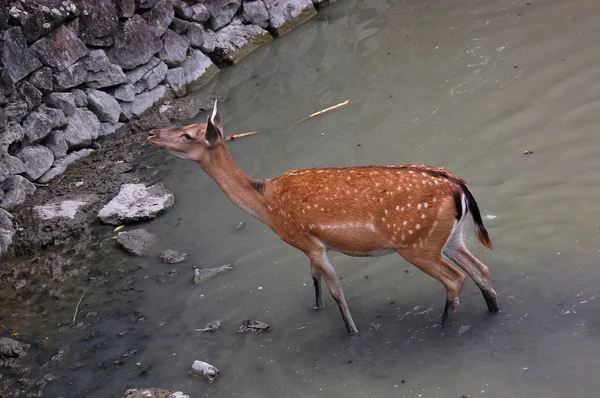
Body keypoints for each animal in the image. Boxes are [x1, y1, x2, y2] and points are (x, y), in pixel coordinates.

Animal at [148, 101, 500, 334]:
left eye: (188, 135)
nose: (152, 132)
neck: (266, 204)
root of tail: (460, 188)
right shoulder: (310, 245)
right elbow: (314, 278)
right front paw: (315, 309)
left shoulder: (307, 240)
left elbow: (335, 289)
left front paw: (351, 331)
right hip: (449, 237)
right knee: (480, 269)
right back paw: (493, 311)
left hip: (416, 244)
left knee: (455, 279)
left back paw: (443, 327)